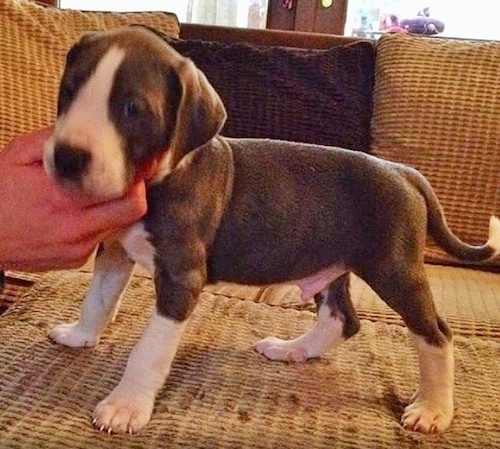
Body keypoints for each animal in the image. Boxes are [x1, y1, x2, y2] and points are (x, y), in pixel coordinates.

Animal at [44, 25, 500, 434]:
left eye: (133, 110)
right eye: (69, 90)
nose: (67, 157)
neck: (161, 175)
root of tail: (403, 171)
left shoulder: (180, 278)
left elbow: (149, 349)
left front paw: (126, 406)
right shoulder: (115, 248)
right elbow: (97, 298)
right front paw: (80, 335)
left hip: (394, 268)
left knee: (436, 333)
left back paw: (433, 408)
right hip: (330, 262)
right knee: (342, 319)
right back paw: (293, 350)